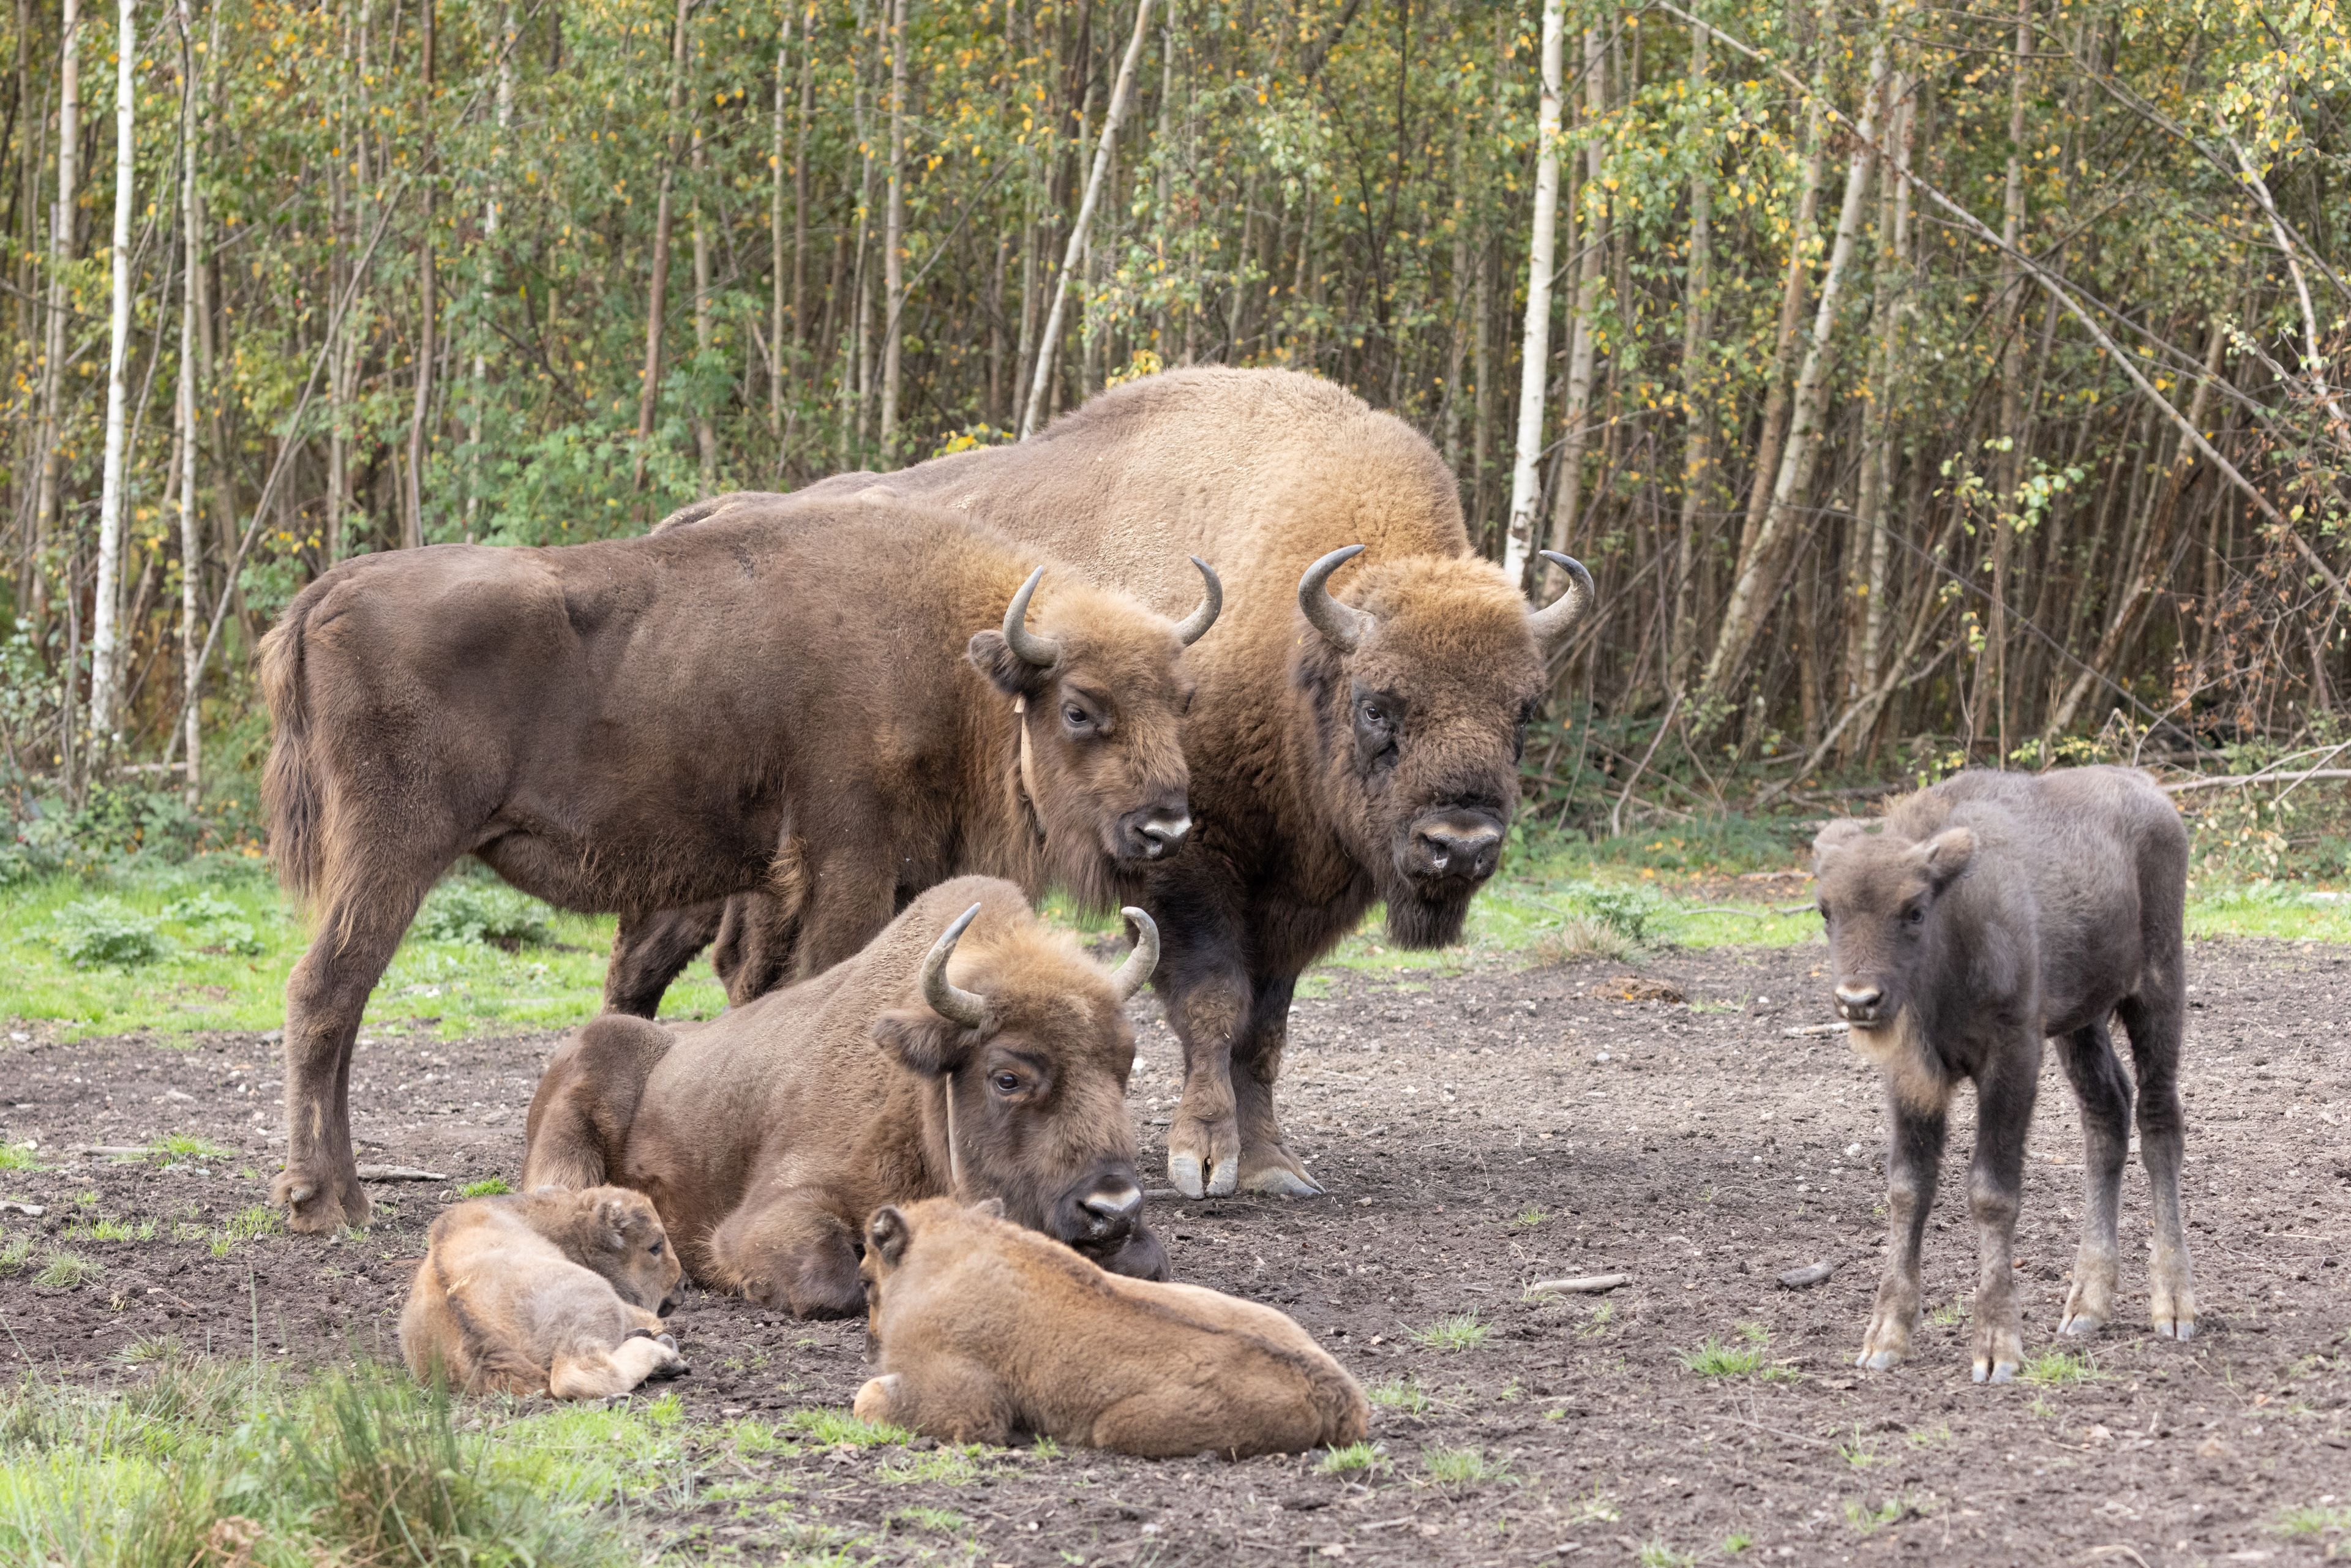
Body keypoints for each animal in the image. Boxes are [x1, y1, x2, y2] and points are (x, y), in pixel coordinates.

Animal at [257, 495, 1217, 1233]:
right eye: (1081, 708)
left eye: (1182, 700)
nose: (1166, 824)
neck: (944, 649)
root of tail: (332, 590)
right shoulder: (846, 860)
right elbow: (826, 980)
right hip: (394, 848)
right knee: (326, 991)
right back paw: (324, 1204)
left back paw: (340, 1194)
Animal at [520, 877, 1169, 1316]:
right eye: (1006, 1076)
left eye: (1125, 1063)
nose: (1114, 1207)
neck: (915, 1095)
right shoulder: (772, 1212)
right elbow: (831, 1278)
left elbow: (1149, 1260)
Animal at [651, 367, 1595, 1200]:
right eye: (1378, 706)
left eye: (1525, 710)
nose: (1459, 845)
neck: (1287, 642)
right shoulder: (1189, 869)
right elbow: (1214, 1007)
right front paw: (1203, 1159)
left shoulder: (1290, 902)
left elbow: (1266, 1030)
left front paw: (1273, 1165)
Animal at [854, 1195, 1368, 1456]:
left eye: (865, 1279)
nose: (871, 1344)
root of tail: (1339, 1391)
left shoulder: (965, 1406)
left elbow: (868, 1398)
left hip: (1119, 1426)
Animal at [1811, 766, 2197, 1384]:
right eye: (1827, 911)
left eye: (1914, 909)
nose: (1858, 1000)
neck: (1956, 921)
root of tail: (2150, 790)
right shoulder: (1911, 1075)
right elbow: (1908, 1187)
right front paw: (1885, 1338)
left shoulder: (2012, 1058)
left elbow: (1993, 1192)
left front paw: (1996, 1347)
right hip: (2081, 1023)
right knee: (2106, 1114)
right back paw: (2087, 1304)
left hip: (2158, 990)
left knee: (2159, 1120)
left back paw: (2175, 1305)